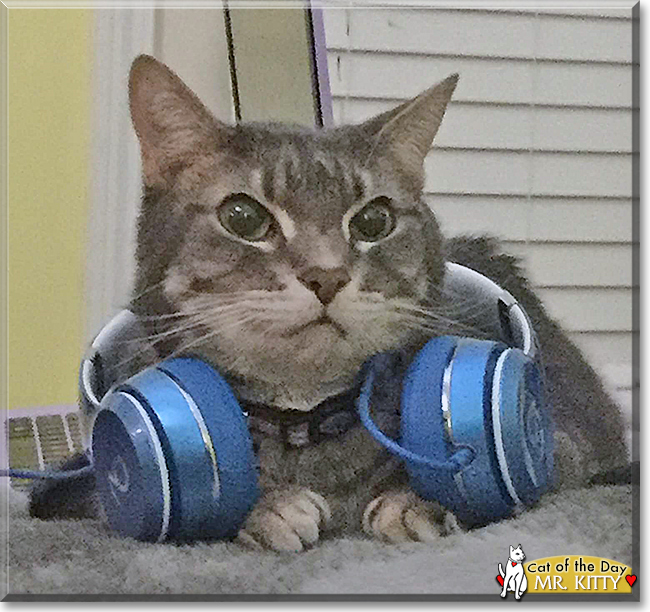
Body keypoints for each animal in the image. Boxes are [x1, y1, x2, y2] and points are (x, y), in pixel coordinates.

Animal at [29, 53, 628, 556]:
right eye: (243, 217)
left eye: (374, 220)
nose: (327, 275)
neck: (304, 417)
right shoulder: (85, 488)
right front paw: (265, 506)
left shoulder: (567, 444)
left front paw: (422, 498)